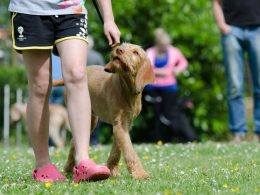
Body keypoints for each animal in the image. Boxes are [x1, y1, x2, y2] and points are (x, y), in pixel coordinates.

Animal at [53, 43, 153, 180]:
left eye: (136, 52)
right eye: (122, 46)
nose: (118, 50)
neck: (127, 88)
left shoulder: (124, 125)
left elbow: (117, 149)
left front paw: (112, 169)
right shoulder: (119, 125)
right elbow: (129, 151)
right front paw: (140, 173)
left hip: (90, 120)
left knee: (74, 141)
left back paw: (69, 168)